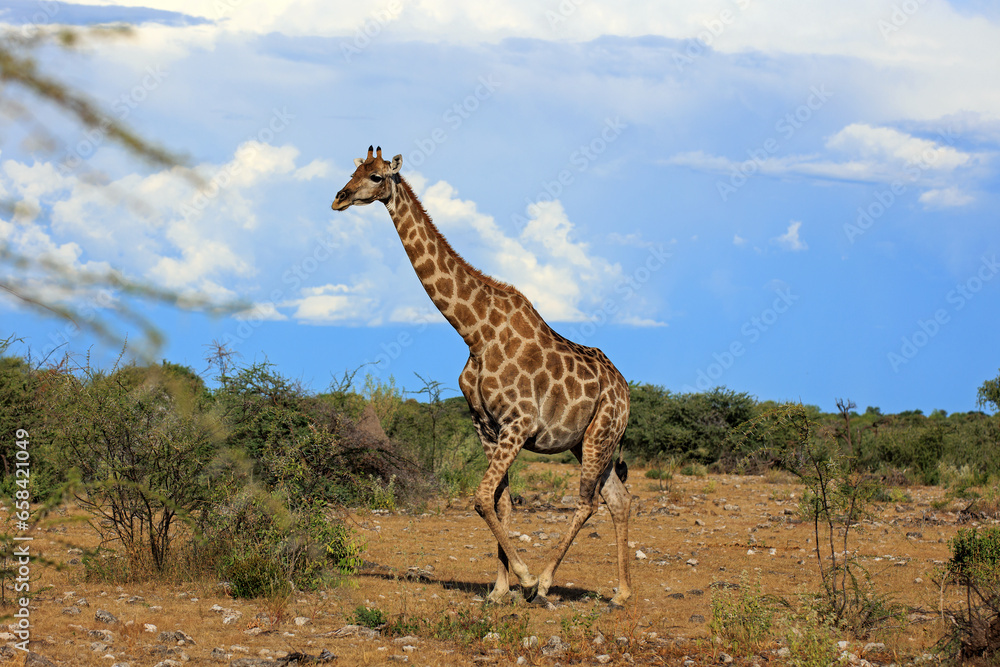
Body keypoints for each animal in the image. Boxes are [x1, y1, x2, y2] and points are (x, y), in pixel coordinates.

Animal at [332, 146, 632, 607]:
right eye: (354, 171)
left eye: (378, 176)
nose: (340, 197)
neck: (474, 332)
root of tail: (625, 390)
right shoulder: (486, 426)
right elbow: (498, 502)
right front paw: (498, 589)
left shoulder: (519, 423)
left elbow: (479, 497)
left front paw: (524, 579)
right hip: (587, 441)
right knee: (618, 499)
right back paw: (621, 592)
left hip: (600, 434)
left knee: (587, 503)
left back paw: (547, 582)